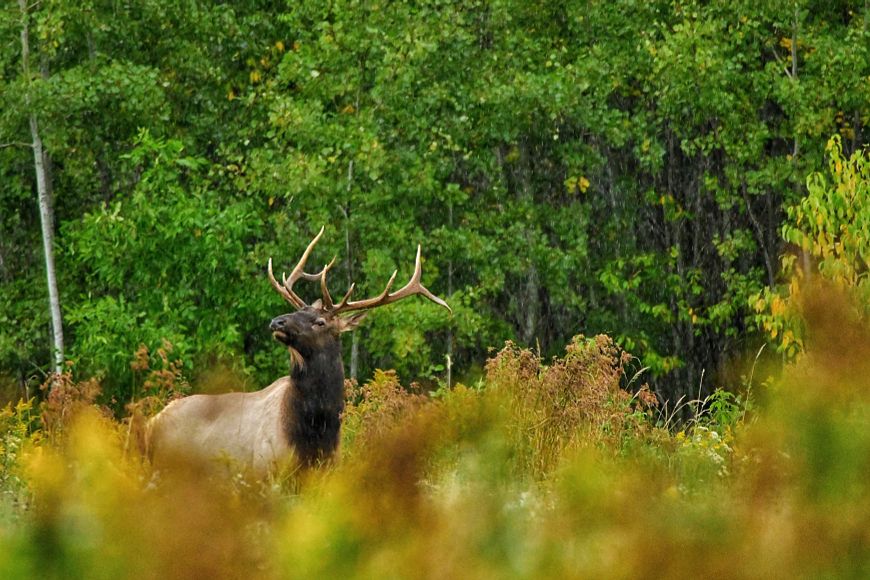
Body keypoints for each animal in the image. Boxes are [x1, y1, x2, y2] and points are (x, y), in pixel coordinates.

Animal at [146, 224, 454, 474]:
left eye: (319, 321)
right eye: (298, 311)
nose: (276, 321)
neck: (315, 431)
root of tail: (150, 423)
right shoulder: (265, 471)